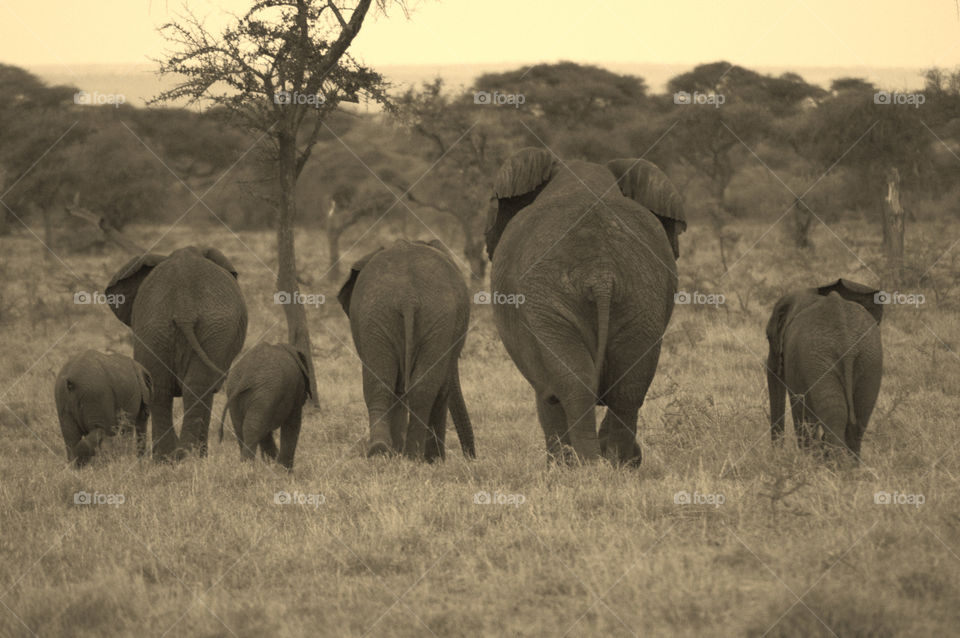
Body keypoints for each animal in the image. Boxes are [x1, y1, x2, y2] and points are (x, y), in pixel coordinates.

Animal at [104, 248, 248, 462]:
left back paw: (169, 457)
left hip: (160, 327)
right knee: (193, 388)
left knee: (165, 388)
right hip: (197, 329)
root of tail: (183, 307)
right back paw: (183, 456)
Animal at [338, 238, 476, 462]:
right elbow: (442, 387)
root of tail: (408, 297)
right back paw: (414, 456)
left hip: (378, 315)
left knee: (380, 383)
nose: (470, 458)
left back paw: (381, 451)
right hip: (431, 318)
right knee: (425, 387)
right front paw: (435, 461)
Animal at [488, 148, 684, 468]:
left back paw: (587, 465)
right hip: (641, 298)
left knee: (572, 385)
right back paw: (616, 464)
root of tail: (601, 273)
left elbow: (547, 394)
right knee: (628, 387)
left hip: (548, 302)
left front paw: (558, 469)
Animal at [764, 278, 884, 462]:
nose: (776, 454)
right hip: (868, 359)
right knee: (858, 421)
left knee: (834, 419)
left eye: (768, 337)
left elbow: (801, 413)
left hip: (821, 358)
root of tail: (845, 338)